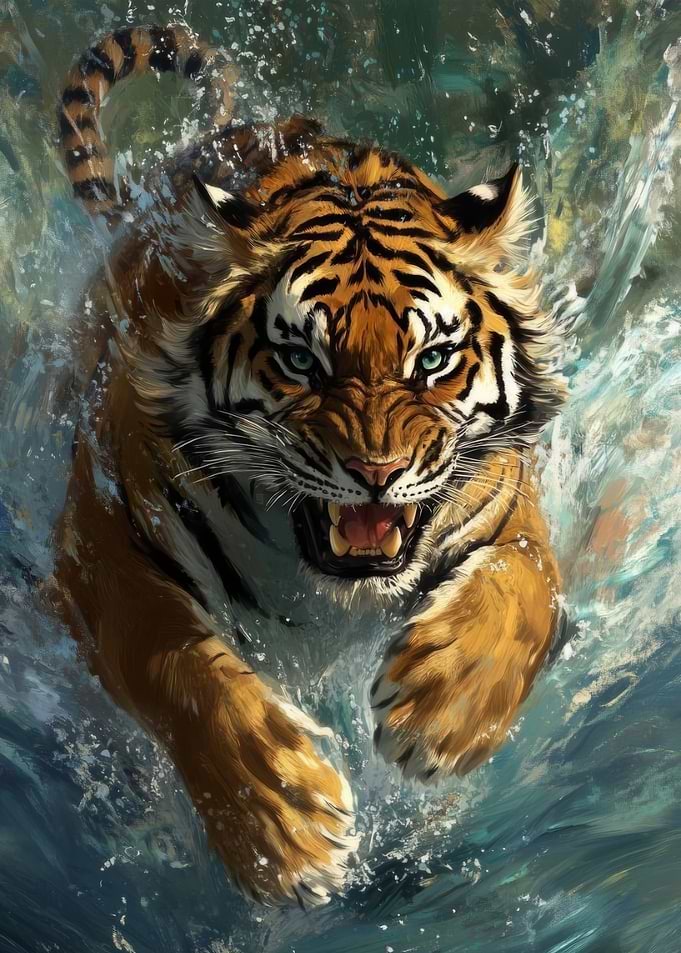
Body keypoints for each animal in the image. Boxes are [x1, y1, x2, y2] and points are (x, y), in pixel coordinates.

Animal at [51, 23, 566, 907]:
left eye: (432, 359)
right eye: (300, 359)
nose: (376, 470)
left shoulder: (508, 508)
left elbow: (523, 587)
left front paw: (439, 714)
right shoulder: (99, 533)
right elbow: (164, 653)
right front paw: (284, 828)